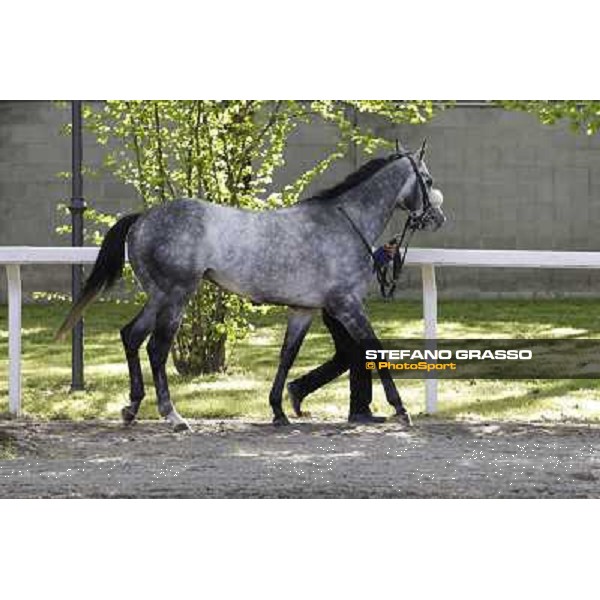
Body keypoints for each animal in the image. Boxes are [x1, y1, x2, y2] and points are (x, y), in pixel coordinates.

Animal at [57, 145, 446, 432]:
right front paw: (401, 409)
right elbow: (373, 349)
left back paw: (132, 407)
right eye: (427, 180)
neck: (343, 222)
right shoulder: (346, 305)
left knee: (131, 336)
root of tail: (142, 218)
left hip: (158, 295)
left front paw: (279, 410)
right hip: (176, 294)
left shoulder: (304, 309)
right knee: (156, 347)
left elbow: (287, 355)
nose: (438, 218)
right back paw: (174, 416)